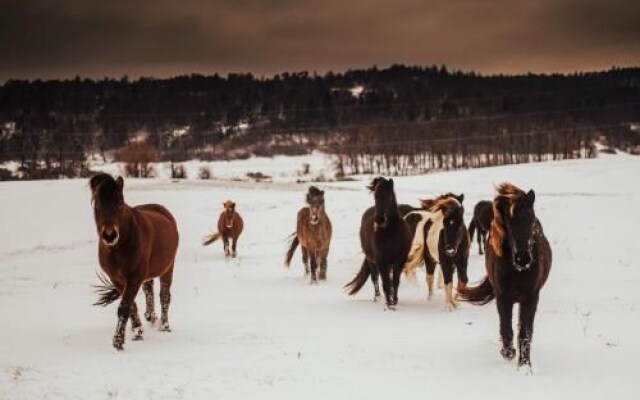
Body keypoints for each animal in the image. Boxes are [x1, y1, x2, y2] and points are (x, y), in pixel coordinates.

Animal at [90, 172, 180, 350]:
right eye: (97, 204)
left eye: (119, 202)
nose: (109, 235)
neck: (119, 246)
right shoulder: (117, 279)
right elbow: (131, 305)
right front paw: (137, 330)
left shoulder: (134, 277)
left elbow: (125, 306)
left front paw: (118, 341)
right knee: (148, 289)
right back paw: (150, 316)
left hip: (168, 268)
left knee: (164, 296)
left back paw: (164, 325)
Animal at [342, 177, 412, 310]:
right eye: (375, 197)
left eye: (390, 196)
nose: (379, 219)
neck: (391, 235)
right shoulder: (381, 262)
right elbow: (385, 283)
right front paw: (389, 303)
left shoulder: (399, 262)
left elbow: (395, 282)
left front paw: (394, 301)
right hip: (372, 261)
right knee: (375, 278)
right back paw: (377, 298)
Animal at [458, 183, 552, 374]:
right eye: (509, 223)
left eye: (532, 221)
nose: (523, 259)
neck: (518, 272)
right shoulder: (503, 298)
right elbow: (506, 328)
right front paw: (508, 352)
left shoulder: (531, 299)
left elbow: (525, 333)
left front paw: (525, 366)